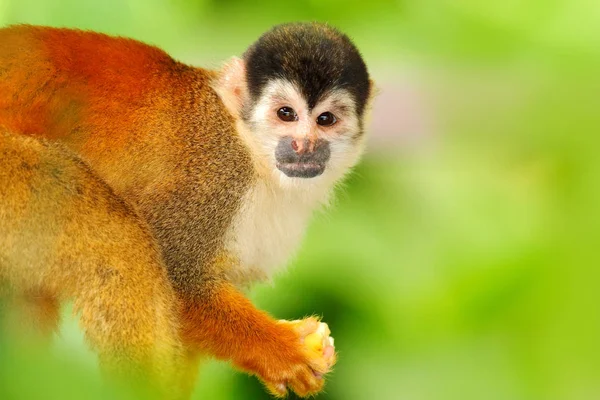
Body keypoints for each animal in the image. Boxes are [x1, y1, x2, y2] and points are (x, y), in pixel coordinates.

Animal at [0, 22, 372, 396]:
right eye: (286, 114)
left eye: (326, 119)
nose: (303, 145)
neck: (253, 153)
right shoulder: (213, 176)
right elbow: (180, 280)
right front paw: (283, 351)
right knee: (118, 240)